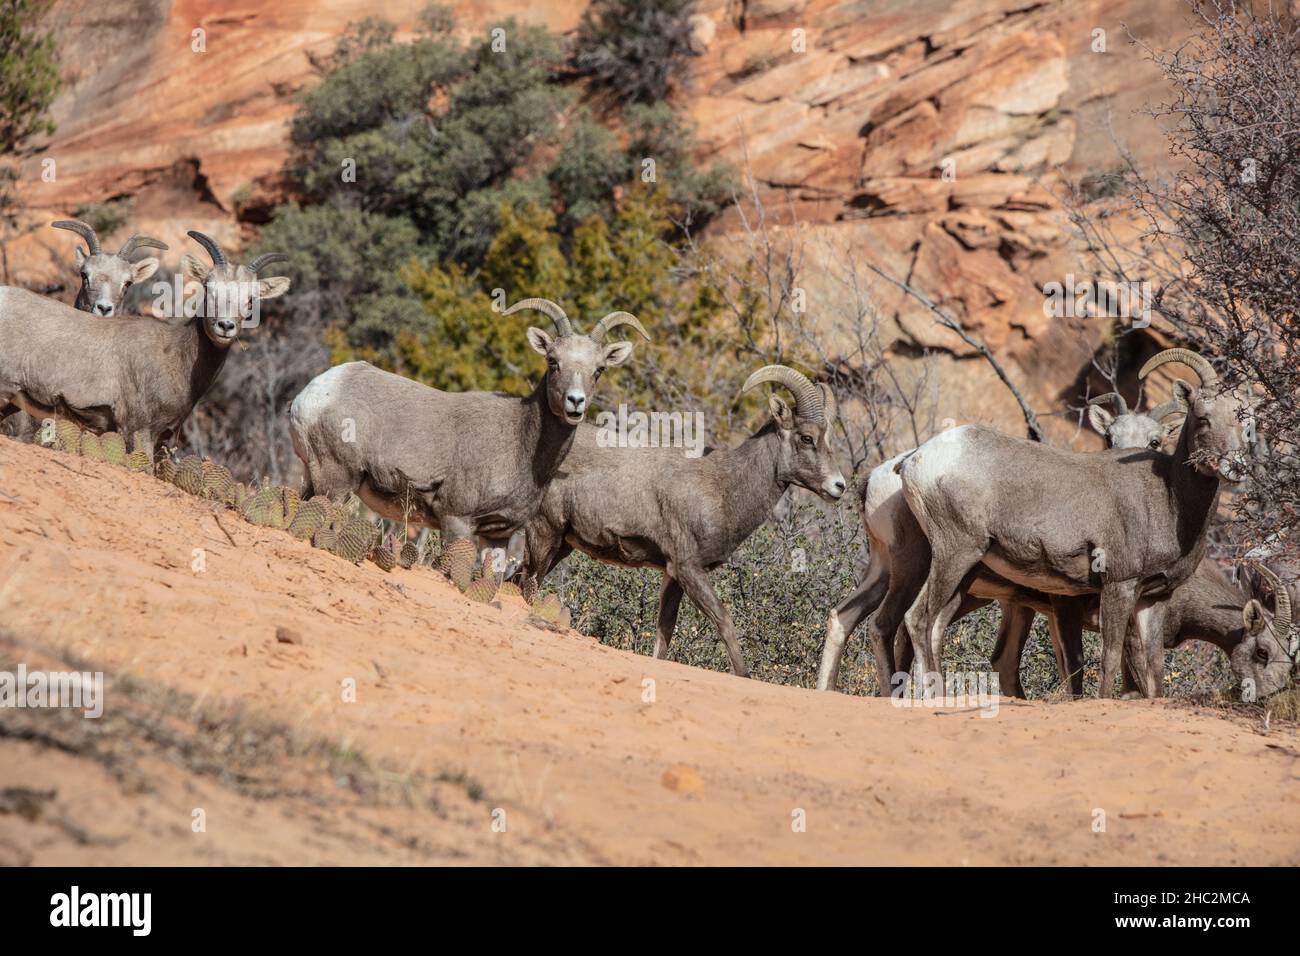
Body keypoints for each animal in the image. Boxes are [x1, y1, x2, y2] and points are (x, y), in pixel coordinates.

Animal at [287, 295, 647, 556]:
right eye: (553, 361)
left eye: (599, 369)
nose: (575, 402)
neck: (522, 444)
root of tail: (310, 395)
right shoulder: (456, 520)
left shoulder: (498, 536)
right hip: (336, 484)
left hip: (315, 481)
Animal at [517, 366, 842, 681]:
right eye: (806, 438)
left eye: (829, 439)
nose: (839, 486)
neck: (724, 487)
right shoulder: (689, 569)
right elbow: (724, 621)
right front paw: (745, 676)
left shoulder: (672, 575)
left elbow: (664, 634)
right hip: (544, 534)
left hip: (562, 545)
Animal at [899, 348, 1253, 697]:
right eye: (1203, 417)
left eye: (1242, 420)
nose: (1235, 467)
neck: (1169, 499)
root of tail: (915, 461)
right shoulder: (1118, 586)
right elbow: (1109, 657)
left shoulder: (1154, 599)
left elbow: (1154, 669)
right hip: (954, 554)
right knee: (918, 620)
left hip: (967, 571)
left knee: (934, 628)